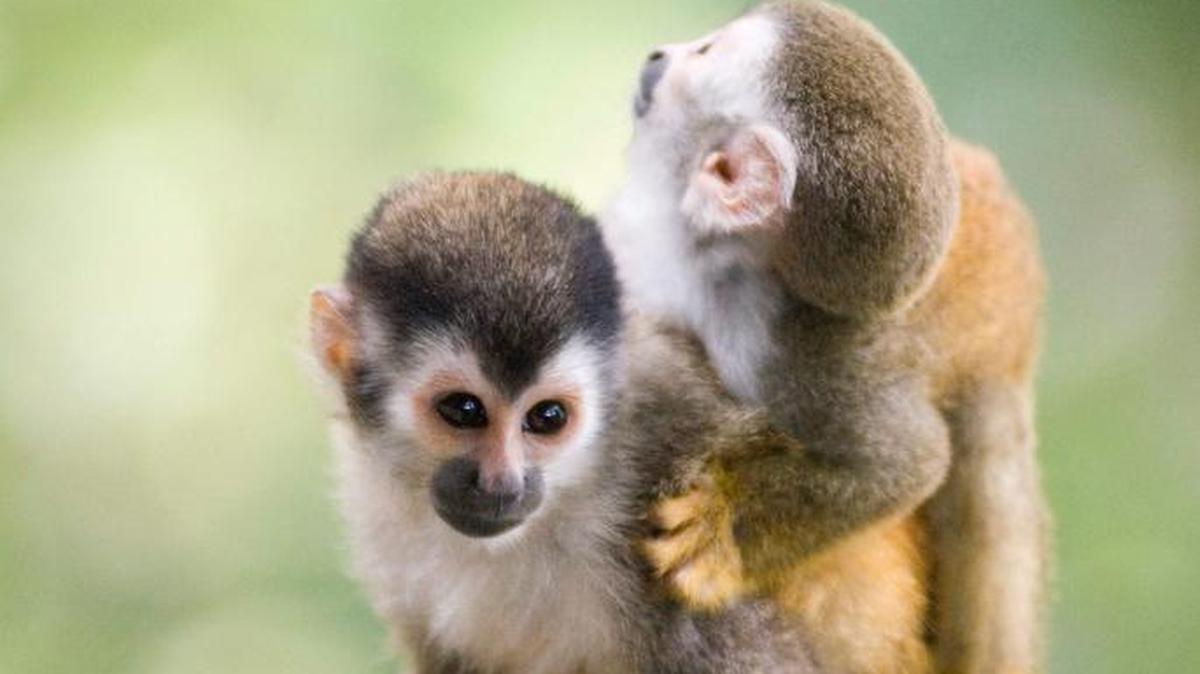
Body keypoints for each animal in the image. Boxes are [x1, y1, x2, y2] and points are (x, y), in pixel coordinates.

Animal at [601, 2, 1049, 673]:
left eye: (704, 53)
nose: (659, 56)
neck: (716, 267)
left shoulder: (794, 347)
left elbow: (907, 459)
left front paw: (723, 531)